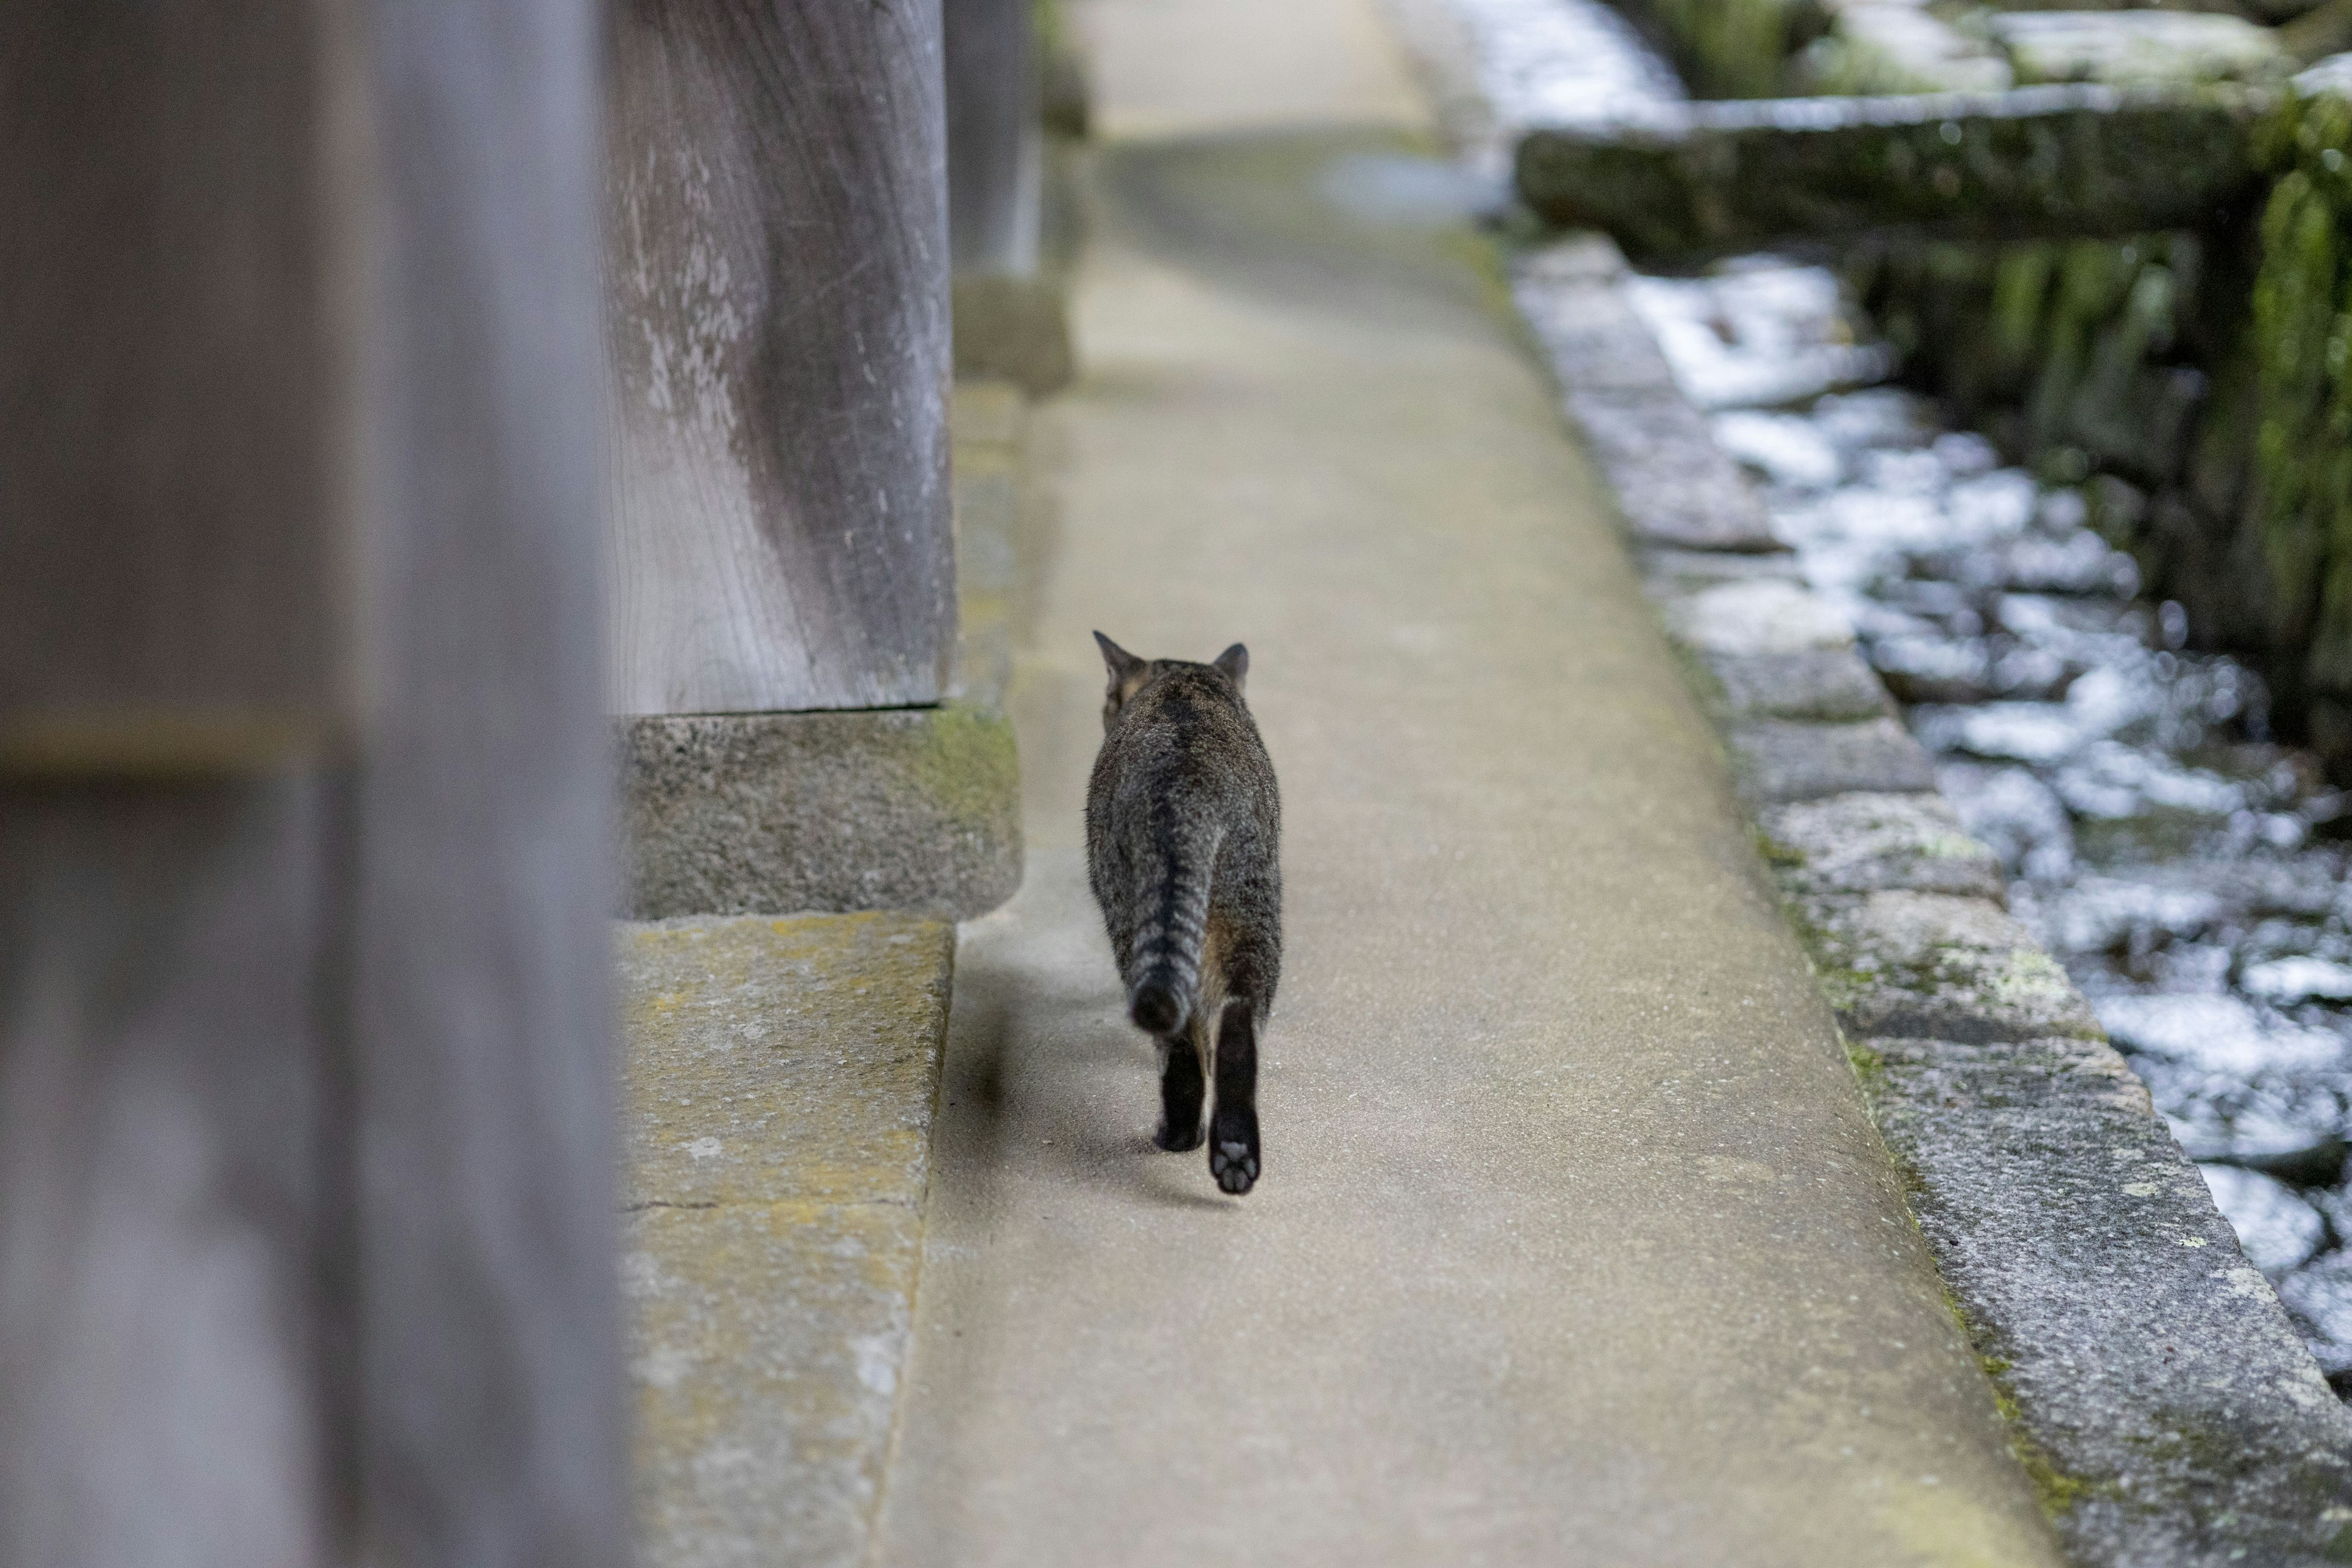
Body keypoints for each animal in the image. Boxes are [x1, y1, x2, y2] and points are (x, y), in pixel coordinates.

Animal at [1087, 630, 1289, 1194]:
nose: (1105, 710)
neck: (1183, 681)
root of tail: (1185, 793)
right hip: (1249, 915)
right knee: (1238, 1024)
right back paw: (1235, 1151)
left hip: (1131, 916)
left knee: (1179, 1040)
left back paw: (1180, 1135)